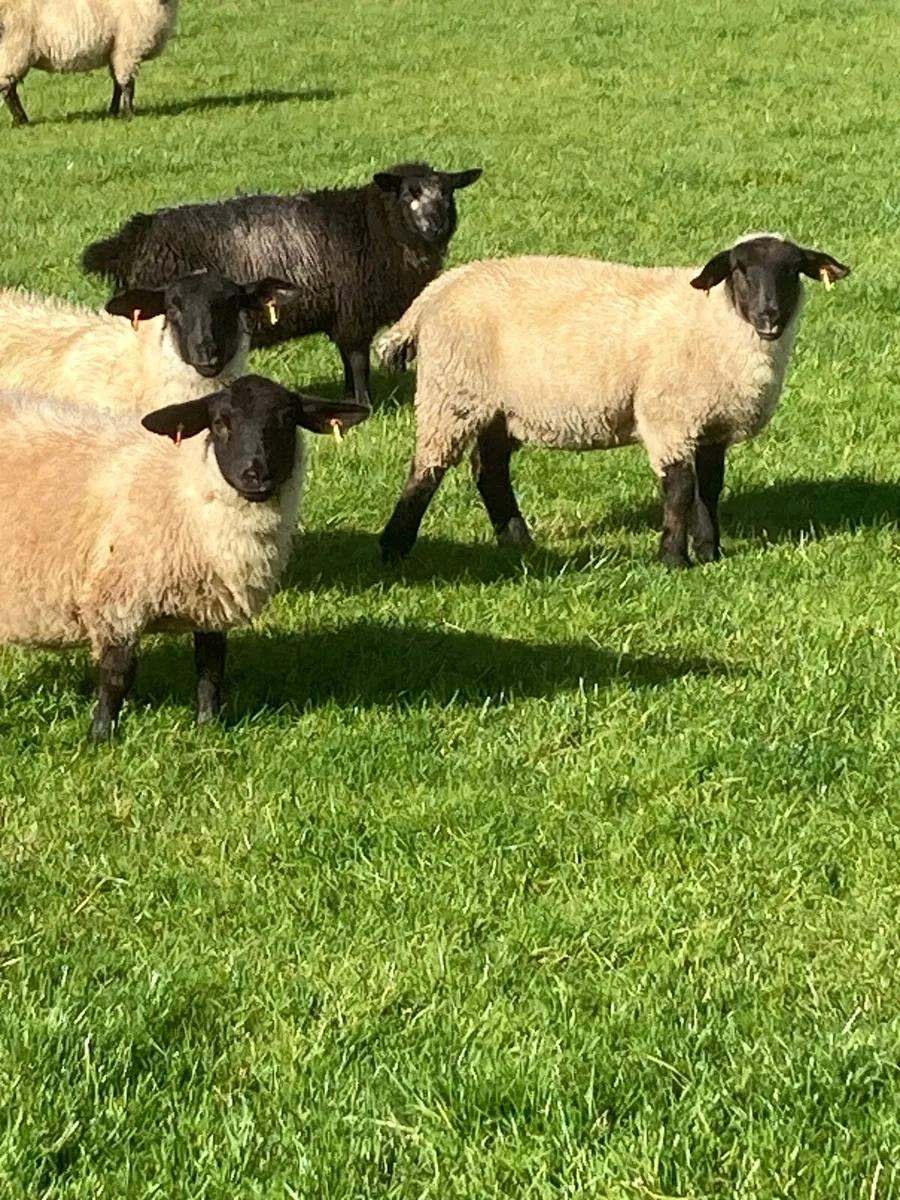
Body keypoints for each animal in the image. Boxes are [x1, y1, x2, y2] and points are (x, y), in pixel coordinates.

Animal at [0, 0, 178, 125]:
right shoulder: (127, 48)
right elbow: (127, 85)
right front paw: (128, 115)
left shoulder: (115, 50)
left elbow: (117, 83)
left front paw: (113, 112)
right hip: (13, 49)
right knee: (8, 89)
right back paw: (21, 120)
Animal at [0, 375, 369, 740]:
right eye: (219, 424)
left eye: (288, 419)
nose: (256, 475)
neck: (182, 488)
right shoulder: (119, 597)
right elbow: (117, 675)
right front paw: (102, 736)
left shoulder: (212, 601)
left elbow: (211, 668)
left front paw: (208, 727)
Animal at [81, 162, 484, 405]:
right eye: (408, 194)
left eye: (447, 194)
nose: (436, 226)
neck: (373, 224)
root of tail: (129, 240)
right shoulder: (354, 311)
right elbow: (358, 361)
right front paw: (364, 403)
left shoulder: (341, 314)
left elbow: (347, 360)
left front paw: (347, 397)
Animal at [376, 235, 850, 568]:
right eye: (739, 268)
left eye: (793, 269)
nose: (770, 317)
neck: (714, 321)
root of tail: (437, 289)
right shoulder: (668, 416)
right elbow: (681, 487)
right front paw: (673, 559)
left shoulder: (711, 423)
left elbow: (710, 489)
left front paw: (710, 552)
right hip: (452, 394)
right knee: (427, 470)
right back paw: (394, 547)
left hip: (497, 407)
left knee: (489, 473)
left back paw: (519, 543)